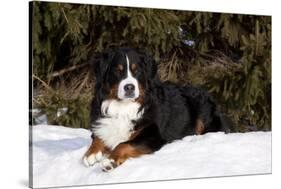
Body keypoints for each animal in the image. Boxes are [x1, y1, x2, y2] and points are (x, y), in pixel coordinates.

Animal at [81, 47, 230, 171]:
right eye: (117, 70)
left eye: (137, 71)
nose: (129, 87)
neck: (124, 107)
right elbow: (98, 137)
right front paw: (91, 153)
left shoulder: (153, 135)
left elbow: (124, 144)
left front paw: (110, 160)